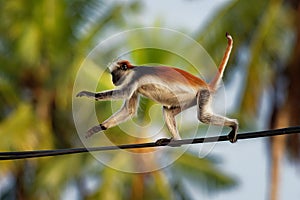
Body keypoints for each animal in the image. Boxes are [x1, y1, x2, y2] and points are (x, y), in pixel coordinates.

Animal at [77, 32, 239, 142]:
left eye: (114, 74)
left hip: (203, 94)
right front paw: (98, 128)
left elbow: (123, 93)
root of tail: (206, 86)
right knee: (167, 111)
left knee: (203, 117)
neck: (131, 70)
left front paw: (89, 94)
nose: (113, 80)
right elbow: (129, 110)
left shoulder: (135, 78)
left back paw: (234, 124)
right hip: (189, 100)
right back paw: (176, 141)